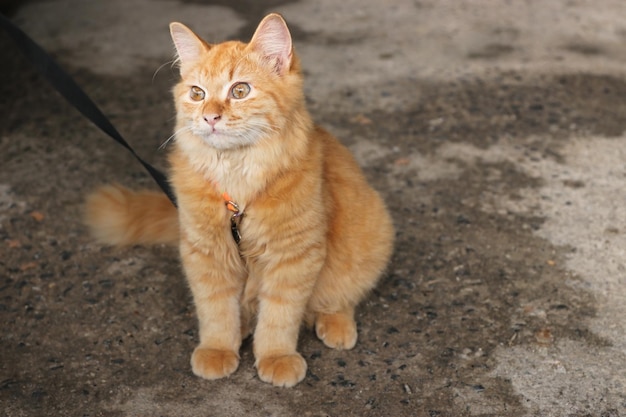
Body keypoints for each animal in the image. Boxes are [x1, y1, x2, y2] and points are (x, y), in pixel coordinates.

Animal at [85, 13, 392, 386]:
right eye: (197, 93)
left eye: (240, 91)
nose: (210, 117)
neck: (236, 179)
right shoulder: (205, 252)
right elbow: (216, 312)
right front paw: (218, 350)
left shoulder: (295, 255)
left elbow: (279, 317)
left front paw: (276, 357)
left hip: (368, 239)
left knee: (339, 296)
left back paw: (336, 324)